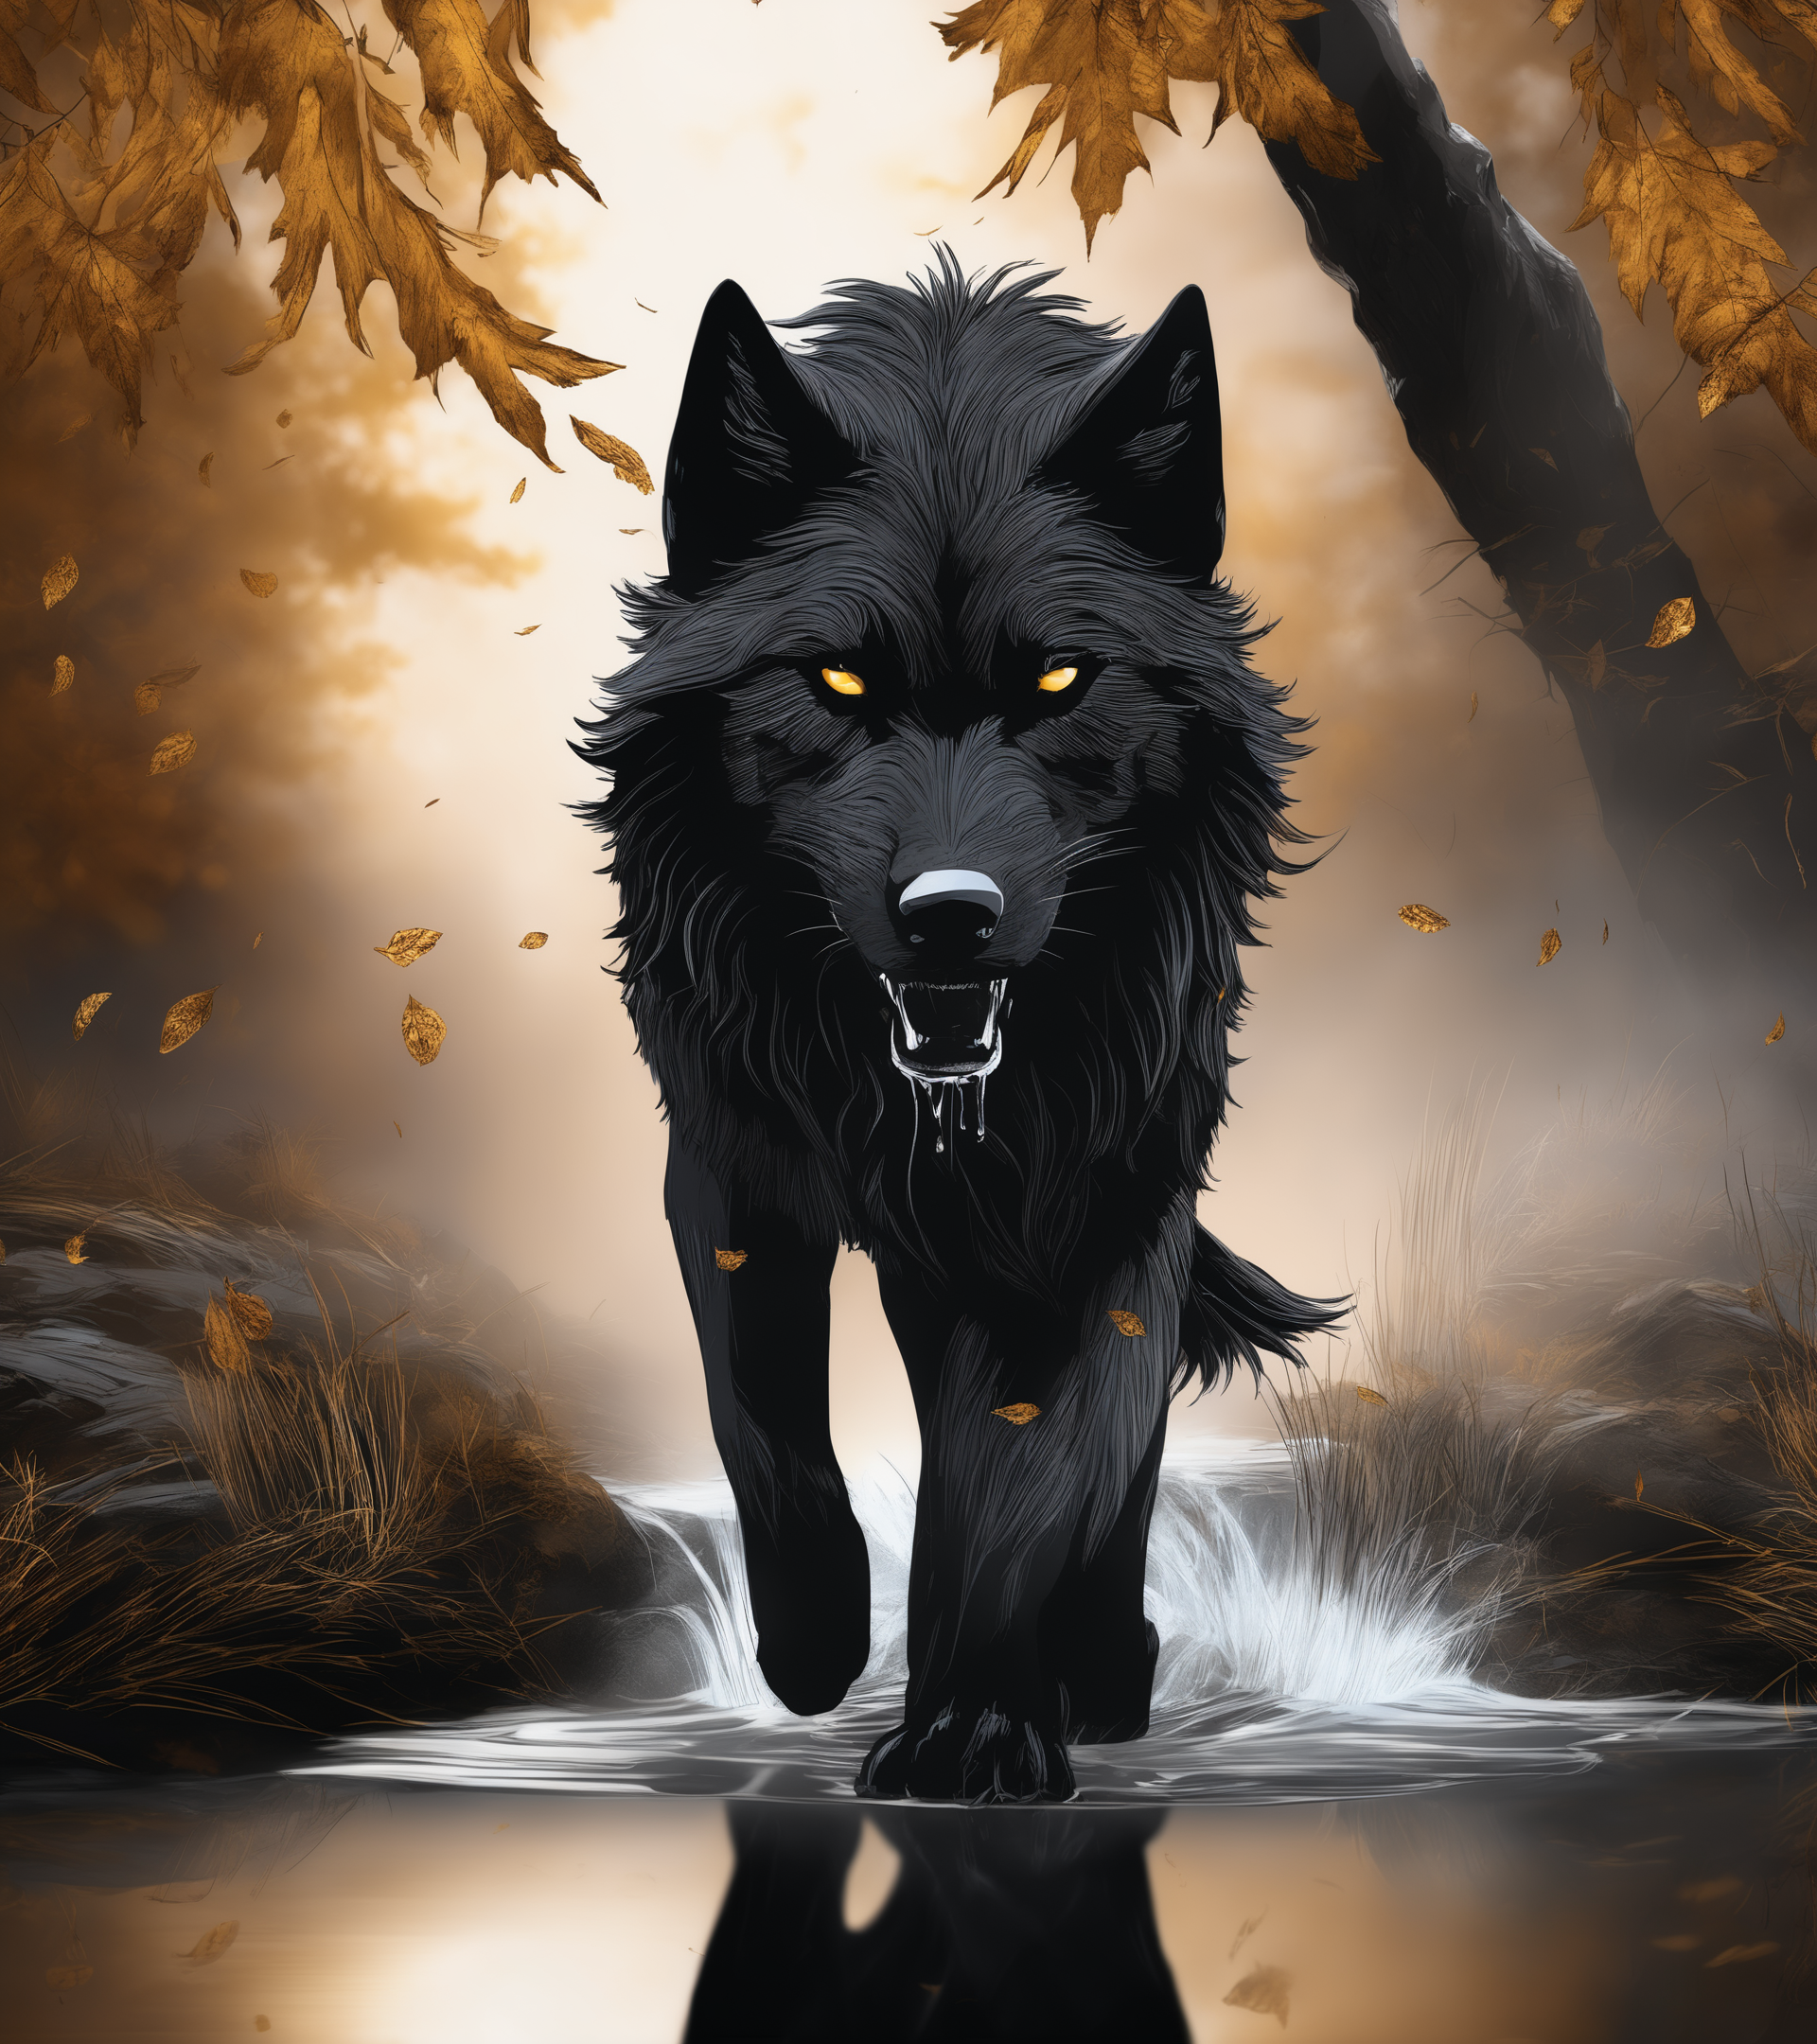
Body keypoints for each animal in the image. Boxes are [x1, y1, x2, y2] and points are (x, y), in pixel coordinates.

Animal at [578, 255, 1339, 1803]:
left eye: (1058, 682)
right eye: (837, 682)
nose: (950, 915)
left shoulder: (1082, 1207)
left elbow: (1028, 1473)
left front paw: (975, 1728)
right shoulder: (733, 1168)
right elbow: (761, 1415)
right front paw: (816, 1645)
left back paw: (1103, 1674)